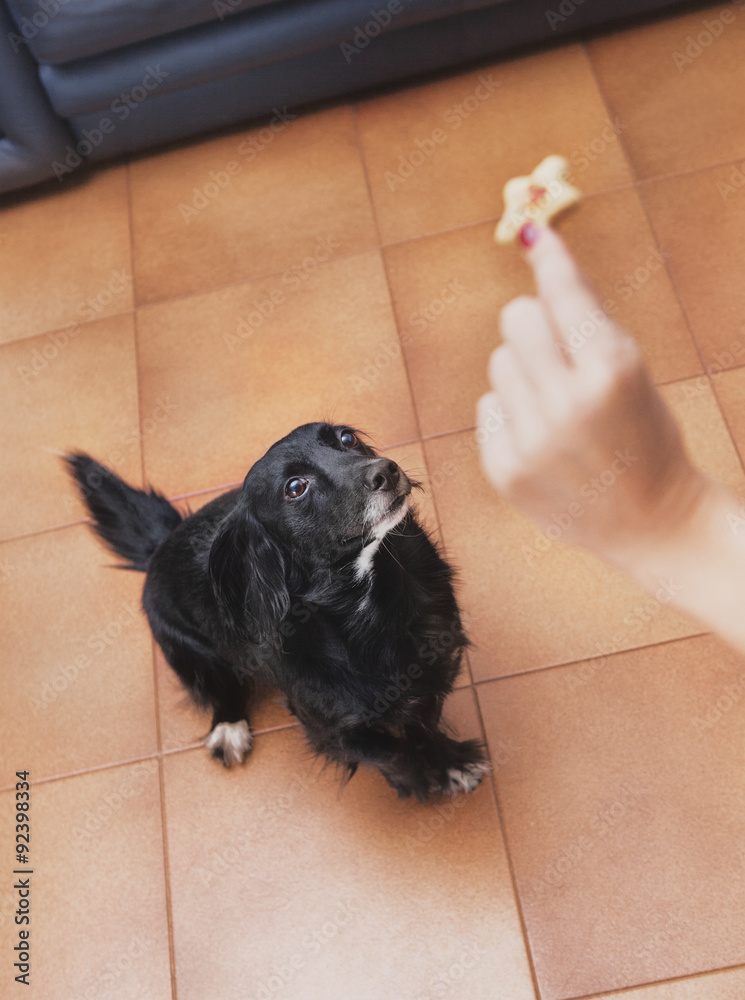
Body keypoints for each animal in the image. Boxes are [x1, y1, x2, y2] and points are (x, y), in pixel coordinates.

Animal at [68, 426, 488, 800]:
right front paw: (417, 782)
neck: (366, 605)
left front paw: (450, 763)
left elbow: (422, 727)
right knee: (221, 689)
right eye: (296, 487)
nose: (388, 469)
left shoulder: (430, 675)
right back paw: (228, 729)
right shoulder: (333, 729)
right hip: (191, 654)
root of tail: (162, 542)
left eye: (347, 438)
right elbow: (394, 754)